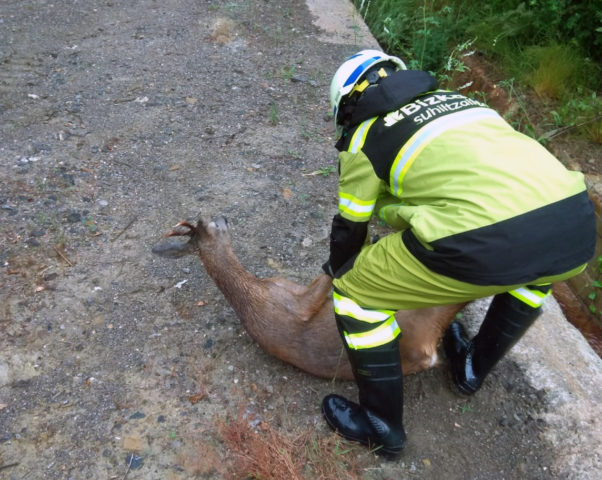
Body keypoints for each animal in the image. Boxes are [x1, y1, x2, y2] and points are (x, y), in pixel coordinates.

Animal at [152, 216, 462, 380]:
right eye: (211, 225)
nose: (225, 217)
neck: (251, 292)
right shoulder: (294, 306)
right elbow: (327, 277)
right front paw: (361, 240)